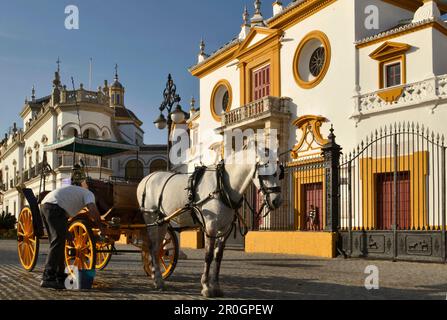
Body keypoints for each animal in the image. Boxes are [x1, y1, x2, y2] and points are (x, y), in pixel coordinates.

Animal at [137, 158, 284, 298]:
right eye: (264, 174)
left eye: (279, 174)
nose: (277, 201)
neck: (223, 187)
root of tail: (146, 178)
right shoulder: (211, 228)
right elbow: (208, 256)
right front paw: (206, 287)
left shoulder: (224, 230)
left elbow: (218, 257)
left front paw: (216, 287)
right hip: (151, 217)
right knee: (152, 247)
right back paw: (158, 280)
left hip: (162, 221)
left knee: (157, 248)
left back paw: (156, 277)